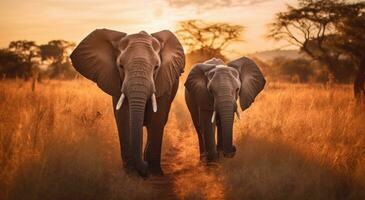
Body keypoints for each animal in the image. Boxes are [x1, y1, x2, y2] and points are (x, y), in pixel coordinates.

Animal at [69, 28, 185, 177]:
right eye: (121, 66)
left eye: (156, 67)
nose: (144, 168)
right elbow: (124, 118)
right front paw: (131, 174)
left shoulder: (164, 82)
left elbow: (156, 119)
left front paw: (154, 172)